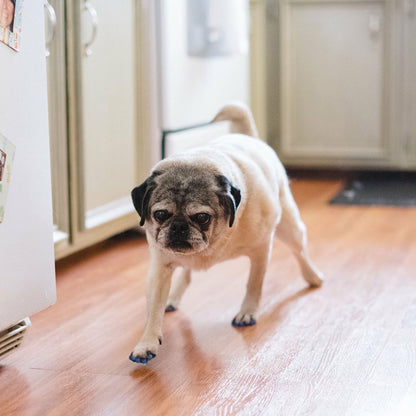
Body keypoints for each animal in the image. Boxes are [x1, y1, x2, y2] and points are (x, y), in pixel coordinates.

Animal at [128, 104, 324, 364]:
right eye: (160, 215)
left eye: (202, 217)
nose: (179, 226)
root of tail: (249, 136)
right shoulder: (160, 267)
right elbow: (153, 310)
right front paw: (147, 342)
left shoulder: (261, 250)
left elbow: (254, 284)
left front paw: (247, 312)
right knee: (186, 273)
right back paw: (173, 297)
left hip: (289, 227)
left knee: (300, 252)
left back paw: (313, 276)